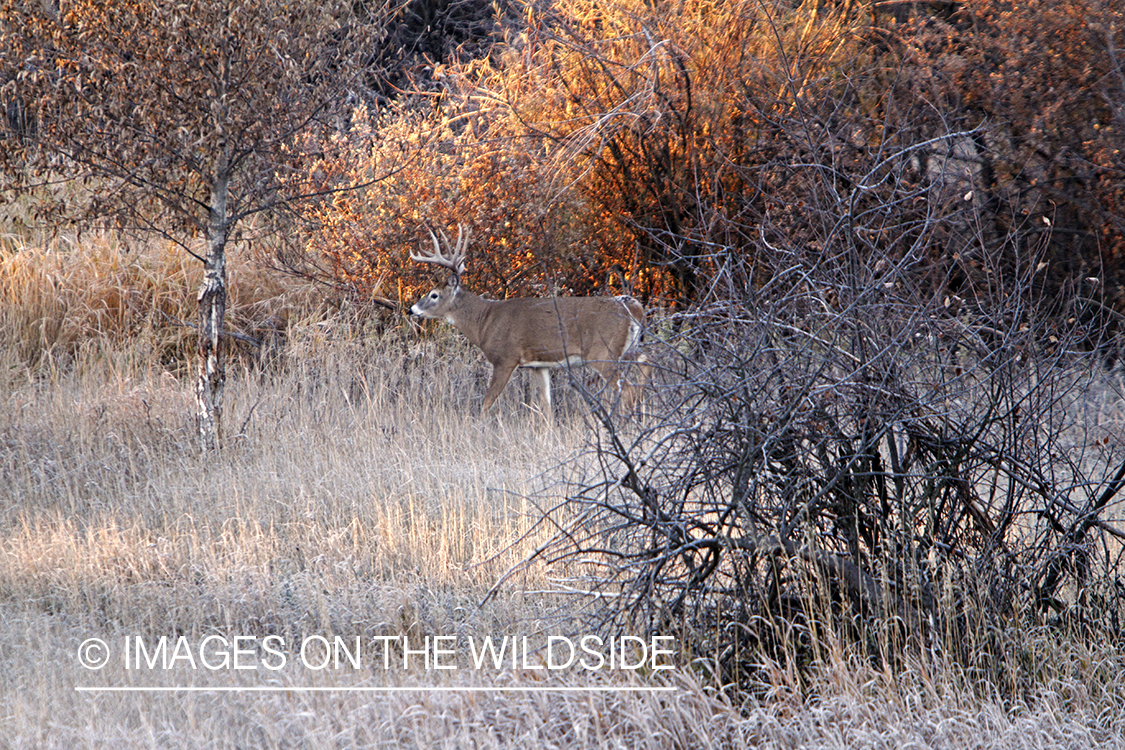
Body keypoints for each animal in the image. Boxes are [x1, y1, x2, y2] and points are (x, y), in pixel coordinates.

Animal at [409, 227, 648, 416]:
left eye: (434, 295)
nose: (412, 309)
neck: (484, 323)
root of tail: (635, 307)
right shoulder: (539, 365)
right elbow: (546, 408)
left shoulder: (505, 358)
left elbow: (487, 403)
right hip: (627, 347)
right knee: (644, 363)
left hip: (603, 352)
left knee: (628, 389)